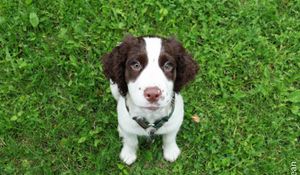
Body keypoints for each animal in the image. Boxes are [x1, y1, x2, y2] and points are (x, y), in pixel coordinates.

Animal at [102, 35, 198, 164]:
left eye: (168, 66)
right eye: (136, 65)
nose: (152, 94)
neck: (150, 115)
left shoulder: (175, 121)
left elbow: (170, 137)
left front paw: (171, 151)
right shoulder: (127, 124)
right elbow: (131, 141)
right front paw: (128, 154)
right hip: (114, 87)